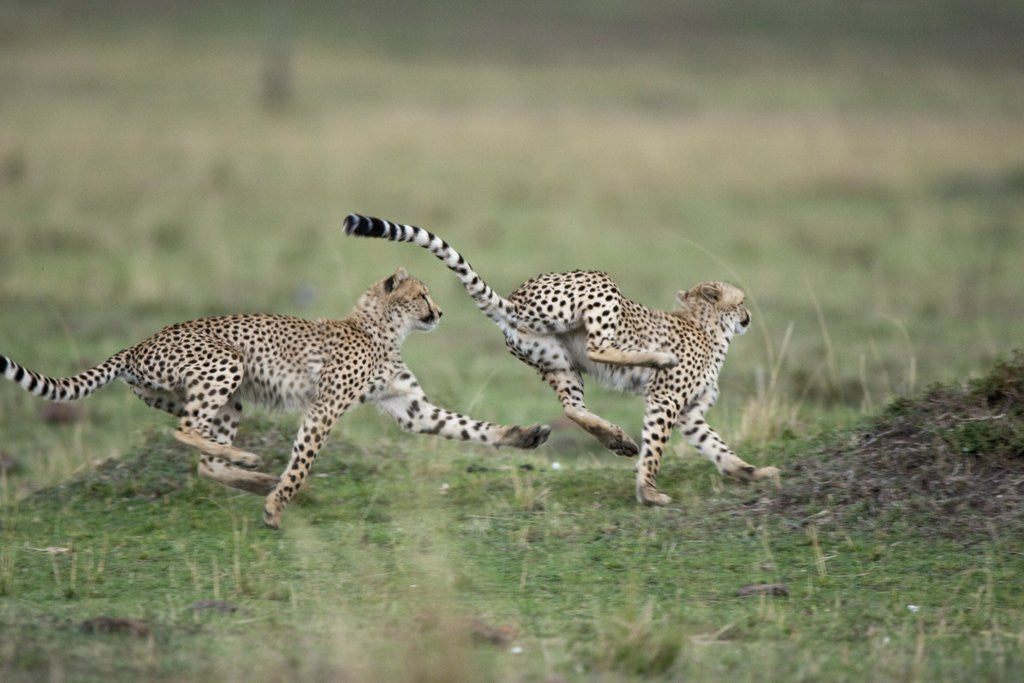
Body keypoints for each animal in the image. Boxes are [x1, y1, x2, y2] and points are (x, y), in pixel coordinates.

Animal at [0, 268, 550, 528]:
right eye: (420, 295)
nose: (438, 313)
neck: (379, 328)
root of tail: (138, 343)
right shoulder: (324, 408)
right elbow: (304, 462)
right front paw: (277, 507)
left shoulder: (410, 408)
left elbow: (468, 426)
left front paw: (523, 435)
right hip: (226, 366)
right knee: (186, 433)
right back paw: (252, 464)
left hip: (226, 399)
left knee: (205, 457)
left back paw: (253, 472)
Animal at [343, 214, 779, 505]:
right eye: (740, 301)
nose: (748, 317)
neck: (707, 327)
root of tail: (515, 299)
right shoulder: (666, 400)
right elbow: (656, 446)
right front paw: (648, 491)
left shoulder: (688, 412)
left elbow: (717, 446)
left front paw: (750, 471)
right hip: (600, 287)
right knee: (599, 348)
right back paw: (656, 358)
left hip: (557, 362)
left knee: (571, 407)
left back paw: (616, 438)